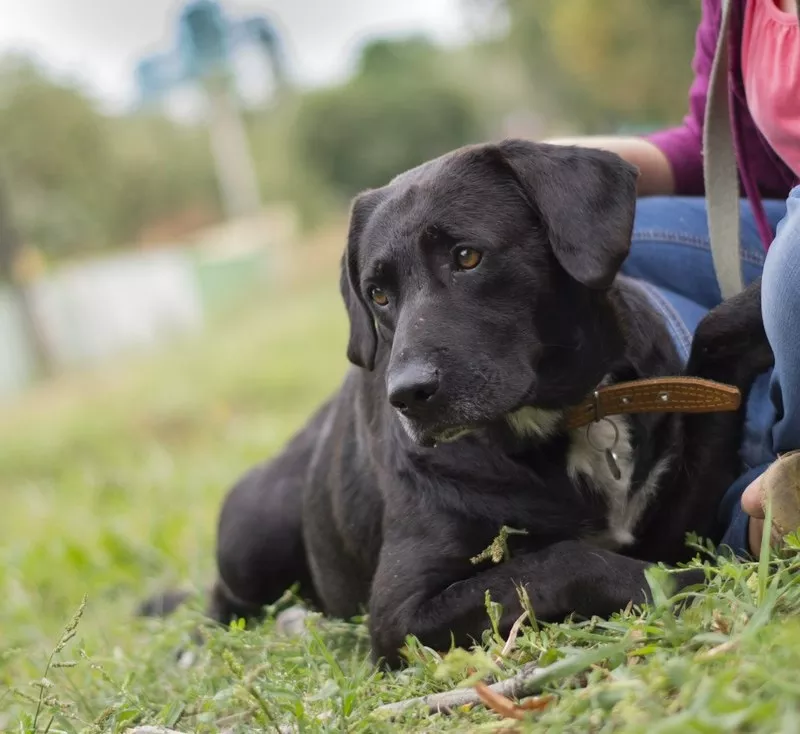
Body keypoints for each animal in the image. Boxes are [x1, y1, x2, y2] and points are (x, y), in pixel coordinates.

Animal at [148, 138, 768, 668]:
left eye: (467, 257)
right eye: (378, 294)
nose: (407, 396)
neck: (559, 421)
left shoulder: (681, 513)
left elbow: (712, 344)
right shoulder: (399, 615)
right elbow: (565, 561)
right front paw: (682, 584)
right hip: (255, 531)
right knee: (218, 603)